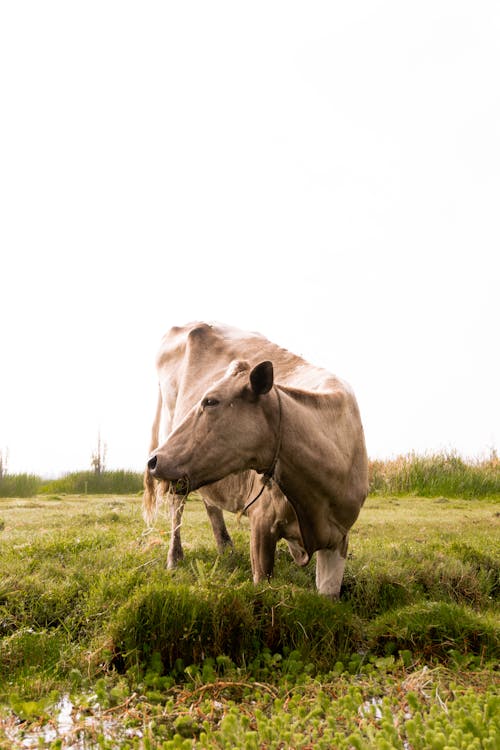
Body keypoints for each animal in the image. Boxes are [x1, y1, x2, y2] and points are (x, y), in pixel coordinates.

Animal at [145, 324, 368, 600]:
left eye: (210, 401)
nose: (153, 460)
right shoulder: (262, 522)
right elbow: (262, 584)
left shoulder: (339, 538)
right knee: (177, 505)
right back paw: (174, 559)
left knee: (210, 501)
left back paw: (226, 549)